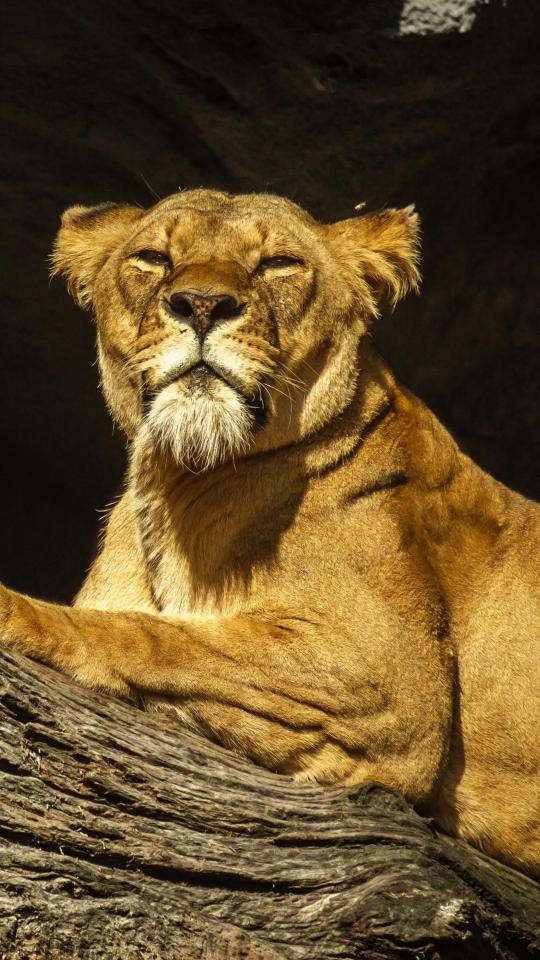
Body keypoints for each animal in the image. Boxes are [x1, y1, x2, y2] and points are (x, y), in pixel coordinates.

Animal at [0, 189, 538, 878]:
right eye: (153, 258)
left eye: (279, 263)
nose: (203, 305)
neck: (181, 483)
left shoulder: (386, 683)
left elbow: (156, 638)